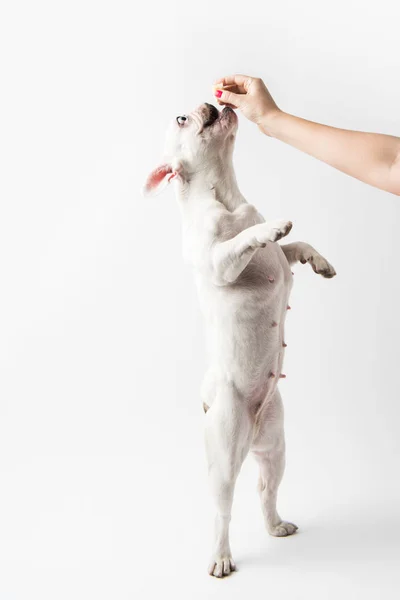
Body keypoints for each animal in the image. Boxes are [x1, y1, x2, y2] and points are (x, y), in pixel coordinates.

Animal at [142, 103, 336, 576]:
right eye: (181, 120)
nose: (210, 103)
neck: (226, 195)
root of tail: (250, 438)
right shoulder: (219, 261)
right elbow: (247, 239)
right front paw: (272, 228)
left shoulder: (281, 258)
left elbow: (294, 247)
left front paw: (318, 260)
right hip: (224, 455)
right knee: (222, 511)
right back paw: (221, 557)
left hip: (277, 445)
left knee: (266, 489)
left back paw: (276, 525)